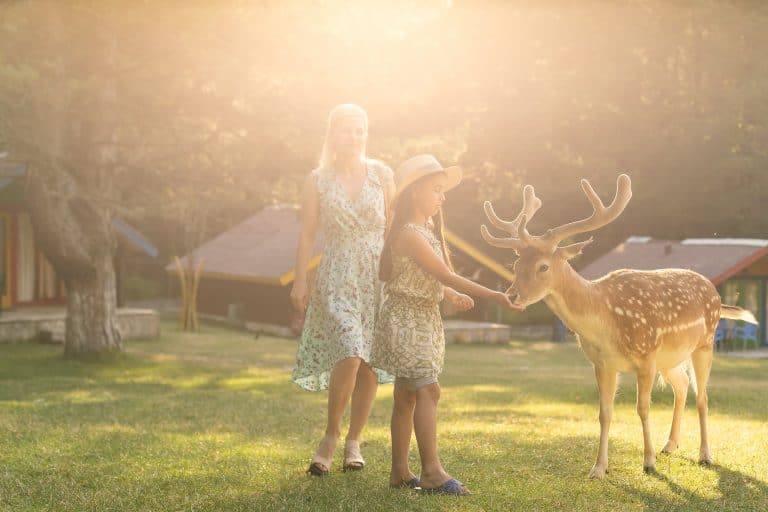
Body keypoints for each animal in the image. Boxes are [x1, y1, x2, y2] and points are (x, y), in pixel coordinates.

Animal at [480, 174, 756, 478]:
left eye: (543, 266)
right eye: (517, 263)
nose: (511, 295)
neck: (605, 324)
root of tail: (716, 294)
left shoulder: (646, 357)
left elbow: (643, 408)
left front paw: (648, 462)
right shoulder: (603, 364)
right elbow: (605, 413)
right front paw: (599, 468)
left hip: (704, 343)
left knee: (703, 396)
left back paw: (704, 455)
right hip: (670, 358)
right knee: (682, 385)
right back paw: (670, 445)